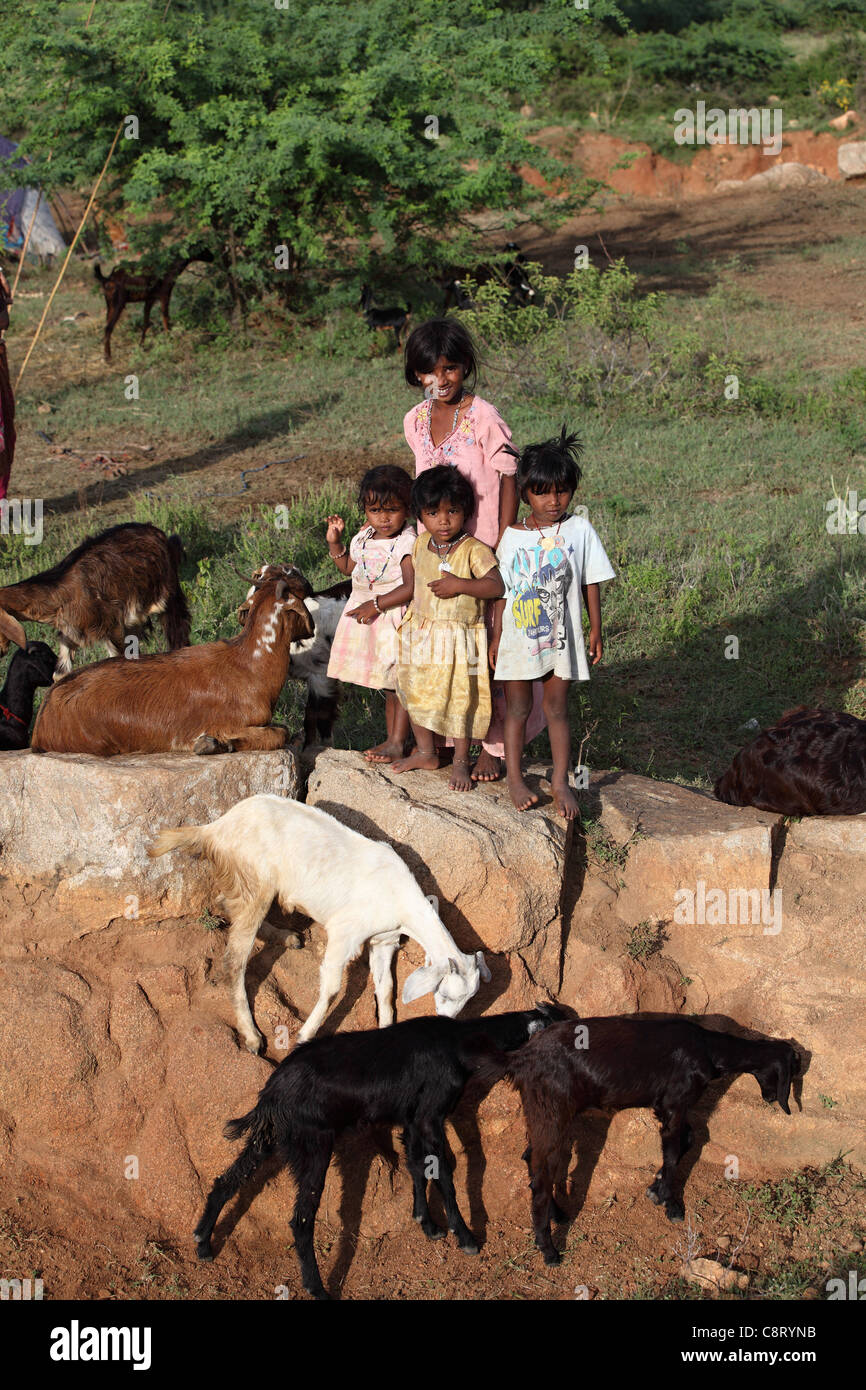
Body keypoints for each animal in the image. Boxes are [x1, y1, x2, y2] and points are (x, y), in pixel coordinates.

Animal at [0, 522, 191, 678]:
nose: (1, 652)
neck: (59, 595)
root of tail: (160, 534)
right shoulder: (70, 635)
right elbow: (60, 674)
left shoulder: (113, 627)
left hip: (170, 597)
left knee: (179, 634)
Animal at [193, 1006, 567, 1295]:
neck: (460, 1042)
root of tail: (272, 1093)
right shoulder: (430, 1114)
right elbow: (445, 1169)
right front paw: (464, 1236)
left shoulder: (412, 1119)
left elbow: (417, 1164)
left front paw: (427, 1223)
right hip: (314, 1146)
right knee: (301, 1219)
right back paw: (317, 1288)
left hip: (268, 1140)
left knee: (226, 1182)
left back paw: (203, 1242)